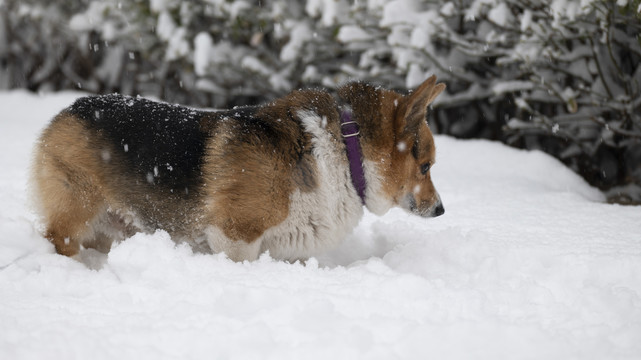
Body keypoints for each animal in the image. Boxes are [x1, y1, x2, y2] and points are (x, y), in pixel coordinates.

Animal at [31, 76, 444, 262]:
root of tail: (68, 110)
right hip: (76, 213)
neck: (344, 151)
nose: (441, 210)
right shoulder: (236, 236)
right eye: (425, 167)